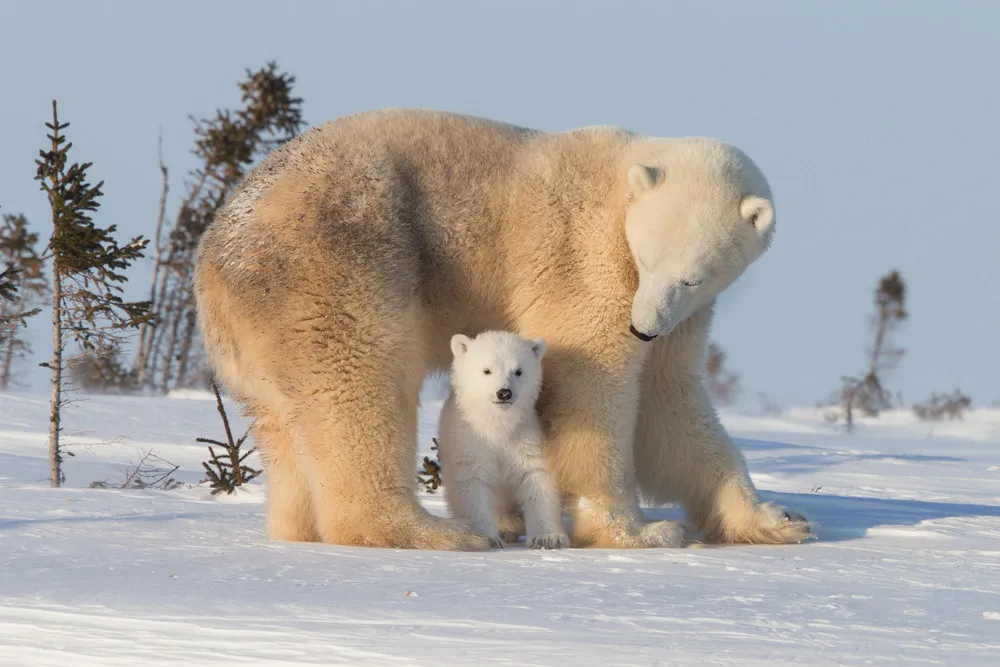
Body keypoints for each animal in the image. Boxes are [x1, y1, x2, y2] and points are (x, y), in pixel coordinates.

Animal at [195, 108, 812, 548]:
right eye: (645, 258)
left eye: (692, 276)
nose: (641, 328)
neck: (623, 181)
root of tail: (216, 253)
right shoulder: (584, 261)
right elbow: (593, 388)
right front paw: (641, 532)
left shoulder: (683, 319)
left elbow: (669, 402)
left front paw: (777, 519)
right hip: (337, 261)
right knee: (359, 383)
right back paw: (435, 533)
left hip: (251, 334)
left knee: (282, 422)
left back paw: (296, 527)